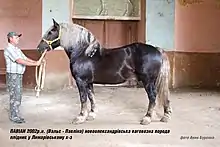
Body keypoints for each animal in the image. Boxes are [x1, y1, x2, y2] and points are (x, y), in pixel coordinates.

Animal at [37, 18, 173, 125]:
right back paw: (165, 116)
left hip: (148, 81)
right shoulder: (89, 82)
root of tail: (157, 49)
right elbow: (91, 97)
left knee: (153, 97)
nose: (39, 48)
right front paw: (91, 115)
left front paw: (80, 117)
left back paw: (147, 118)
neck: (83, 53)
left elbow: (83, 98)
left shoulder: (81, 81)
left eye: (50, 32)